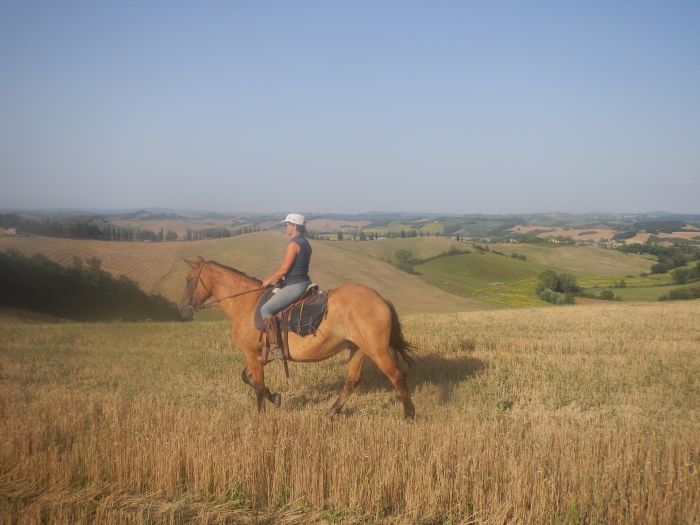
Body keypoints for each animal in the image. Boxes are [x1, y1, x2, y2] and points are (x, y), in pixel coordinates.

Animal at [180, 256, 416, 420]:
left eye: (190, 280)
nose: (184, 309)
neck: (246, 303)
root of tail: (381, 299)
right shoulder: (261, 355)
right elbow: (246, 377)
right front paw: (275, 397)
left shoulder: (252, 354)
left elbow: (257, 385)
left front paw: (261, 417)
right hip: (357, 348)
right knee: (352, 380)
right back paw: (332, 411)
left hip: (377, 350)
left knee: (397, 376)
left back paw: (409, 414)